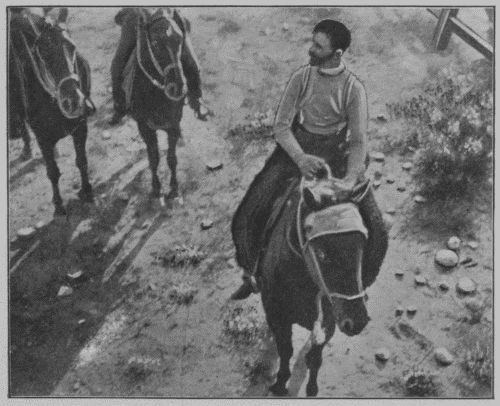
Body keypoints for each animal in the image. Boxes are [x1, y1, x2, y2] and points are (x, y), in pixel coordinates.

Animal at [9, 10, 95, 215]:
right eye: (43, 53)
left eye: (72, 47)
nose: (73, 103)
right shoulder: (43, 139)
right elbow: (52, 172)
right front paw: (58, 204)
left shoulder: (80, 128)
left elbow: (82, 161)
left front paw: (87, 191)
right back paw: (26, 149)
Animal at [258, 170, 387, 397]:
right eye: (321, 254)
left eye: (362, 244)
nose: (357, 322)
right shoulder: (276, 315)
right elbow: (285, 349)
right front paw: (280, 382)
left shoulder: (329, 320)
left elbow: (315, 357)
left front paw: (312, 388)